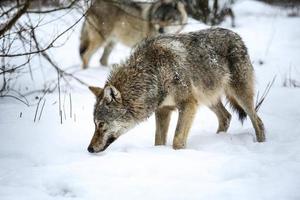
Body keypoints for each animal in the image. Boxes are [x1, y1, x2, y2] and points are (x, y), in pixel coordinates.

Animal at [86, 27, 264, 153]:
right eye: (94, 124)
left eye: (101, 124)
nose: (89, 149)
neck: (155, 73)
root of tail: (237, 35)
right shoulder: (163, 110)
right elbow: (158, 141)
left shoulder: (188, 105)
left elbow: (177, 140)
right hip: (207, 98)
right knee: (226, 117)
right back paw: (219, 140)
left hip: (239, 96)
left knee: (258, 121)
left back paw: (261, 144)